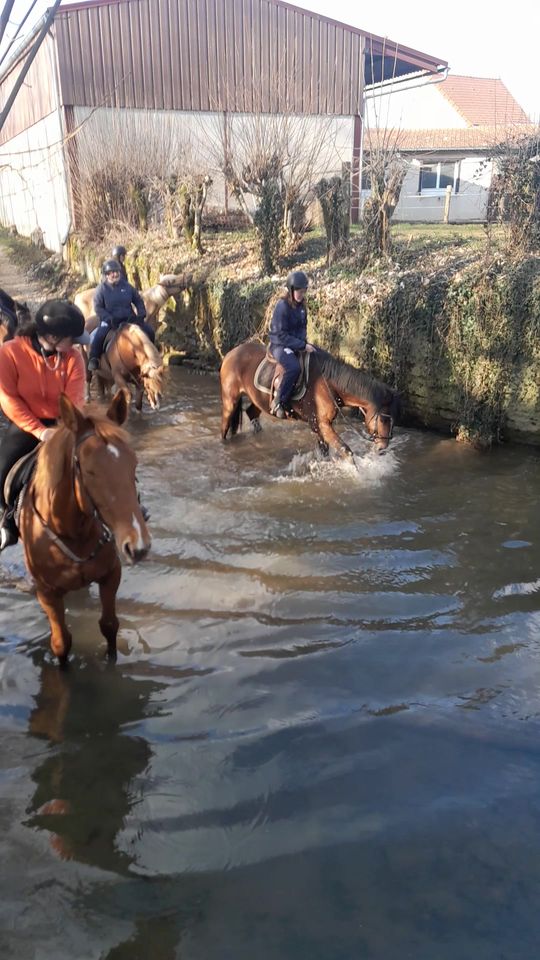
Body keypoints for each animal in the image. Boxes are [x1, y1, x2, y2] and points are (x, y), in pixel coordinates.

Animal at [19, 388, 150, 660]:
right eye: (89, 471)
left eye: (133, 463)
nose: (138, 545)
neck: (72, 532)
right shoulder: (47, 593)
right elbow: (61, 642)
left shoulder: (111, 574)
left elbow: (109, 626)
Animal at [219, 344, 400, 460]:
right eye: (384, 419)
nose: (382, 448)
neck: (327, 383)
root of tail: (230, 354)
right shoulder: (322, 424)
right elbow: (346, 451)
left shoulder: (318, 425)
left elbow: (325, 451)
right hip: (230, 402)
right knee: (225, 428)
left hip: (259, 401)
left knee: (251, 413)